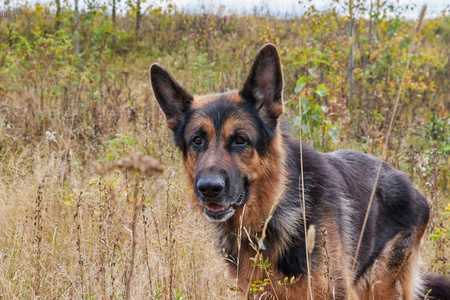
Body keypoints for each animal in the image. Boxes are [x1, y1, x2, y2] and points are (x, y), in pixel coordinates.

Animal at [151, 44, 450, 298]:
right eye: (197, 141)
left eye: (240, 140)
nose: (208, 188)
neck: (275, 209)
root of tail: (410, 185)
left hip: (382, 284)